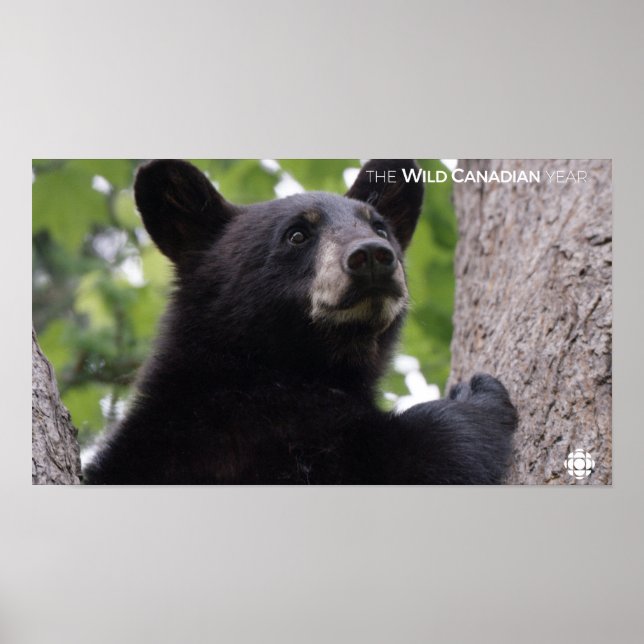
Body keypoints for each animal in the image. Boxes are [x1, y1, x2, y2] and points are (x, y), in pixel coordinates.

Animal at [83, 159, 517, 484]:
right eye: (296, 234)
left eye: (379, 227)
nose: (372, 256)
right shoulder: (251, 445)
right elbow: (415, 455)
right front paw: (475, 397)